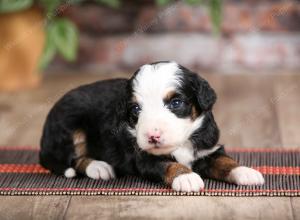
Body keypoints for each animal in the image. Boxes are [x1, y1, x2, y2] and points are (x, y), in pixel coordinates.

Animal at [39, 61, 262, 192]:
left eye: (176, 103)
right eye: (136, 108)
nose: (153, 136)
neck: (181, 144)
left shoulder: (208, 149)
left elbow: (225, 161)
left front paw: (245, 171)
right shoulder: (145, 158)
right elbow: (170, 164)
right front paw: (187, 177)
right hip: (69, 128)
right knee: (71, 158)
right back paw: (99, 167)